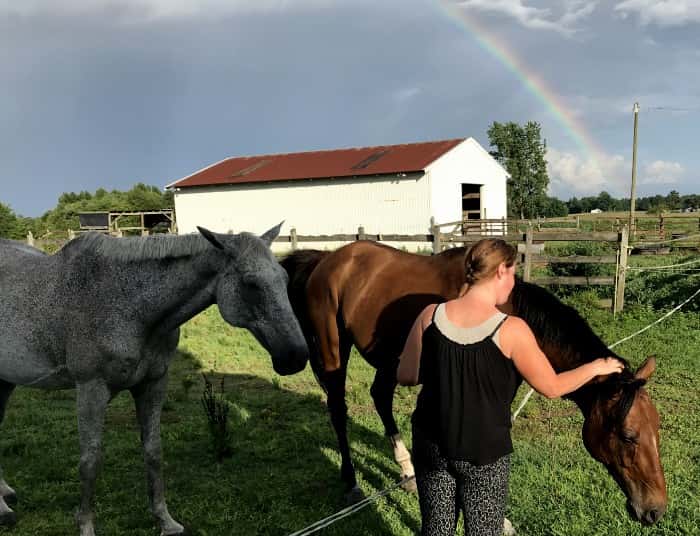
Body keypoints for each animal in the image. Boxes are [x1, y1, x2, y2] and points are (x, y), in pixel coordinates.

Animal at [0, 224, 309, 536]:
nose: (296, 356)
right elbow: (90, 460)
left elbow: (153, 452)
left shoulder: (153, 384)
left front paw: (165, 521)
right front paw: (85, 526)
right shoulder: (91, 388)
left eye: (284, 279)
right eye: (250, 283)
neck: (127, 304)